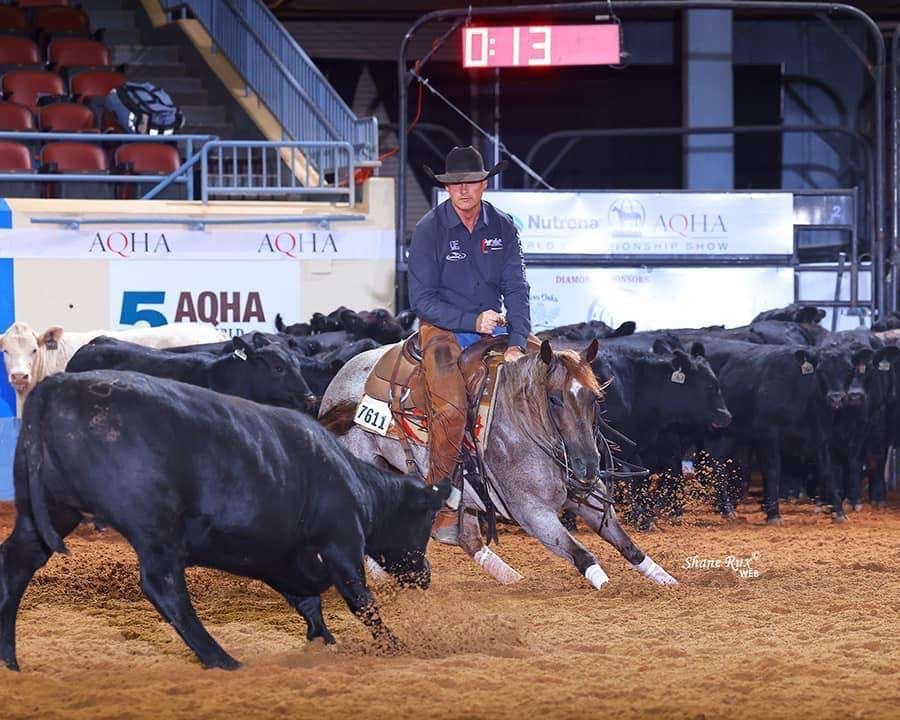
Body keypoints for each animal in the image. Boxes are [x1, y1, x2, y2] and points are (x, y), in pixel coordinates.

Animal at [0, 370, 450, 671]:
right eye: (427, 520)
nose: (425, 575)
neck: (353, 480)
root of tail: (58, 384)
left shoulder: (278, 557)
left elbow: (307, 599)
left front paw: (322, 639)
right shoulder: (340, 542)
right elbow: (361, 601)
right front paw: (395, 644)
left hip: (51, 513)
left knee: (15, 565)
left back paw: (9, 660)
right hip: (153, 526)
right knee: (163, 586)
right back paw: (221, 658)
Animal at [318, 338, 678, 590]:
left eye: (595, 397)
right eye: (554, 398)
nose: (587, 466)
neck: (523, 425)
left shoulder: (585, 496)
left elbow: (628, 546)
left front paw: (668, 581)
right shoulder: (532, 512)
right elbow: (581, 554)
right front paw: (605, 585)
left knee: (467, 539)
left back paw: (510, 578)